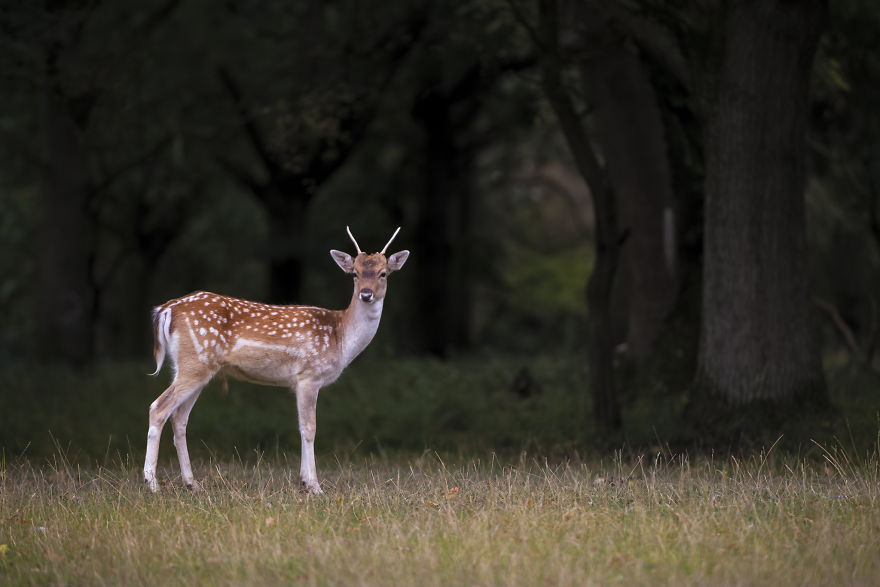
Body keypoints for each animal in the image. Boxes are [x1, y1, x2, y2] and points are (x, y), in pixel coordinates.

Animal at [143, 227, 409, 494]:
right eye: (354, 272)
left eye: (383, 272)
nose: (366, 294)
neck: (339, 337)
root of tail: (166, 309)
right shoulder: (309, 376)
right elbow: (309, 428)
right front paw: (315, 487)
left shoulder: (298, 382)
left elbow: (300, 427)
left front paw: (304, 482)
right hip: (195, 362)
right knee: (158, 408)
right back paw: (152, 484)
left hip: (198, 367)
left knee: (179, 418)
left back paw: (192, 483)